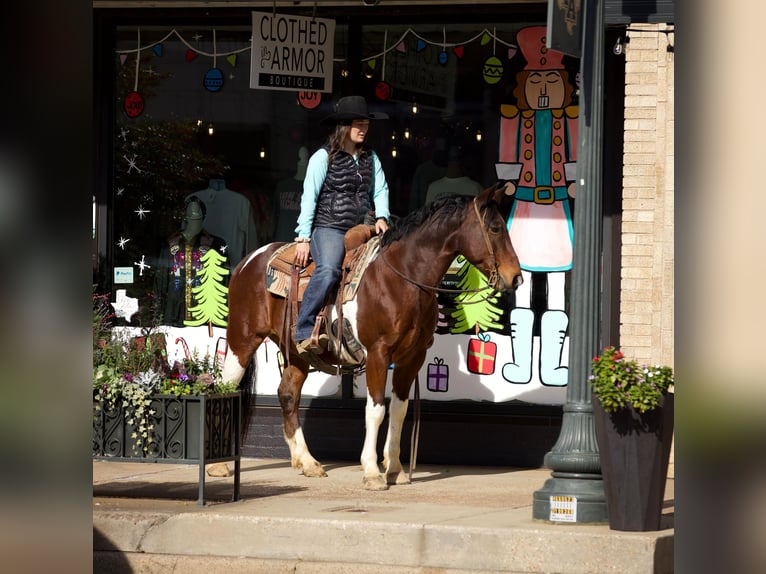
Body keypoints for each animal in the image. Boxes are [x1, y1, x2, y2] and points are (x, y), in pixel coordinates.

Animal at [219, 184, 524, 490]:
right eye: (495, 228)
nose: (516, 278)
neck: (402, 278)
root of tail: (247, 261)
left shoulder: (412, 357)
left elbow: (399, 409)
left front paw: (396, 469)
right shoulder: (378, 353)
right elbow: (375, 410)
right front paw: (372, 471)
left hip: (297, 352)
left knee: (288, 394)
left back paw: (307, 462)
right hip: (242, 340)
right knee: (227, 387)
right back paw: (220, 465)